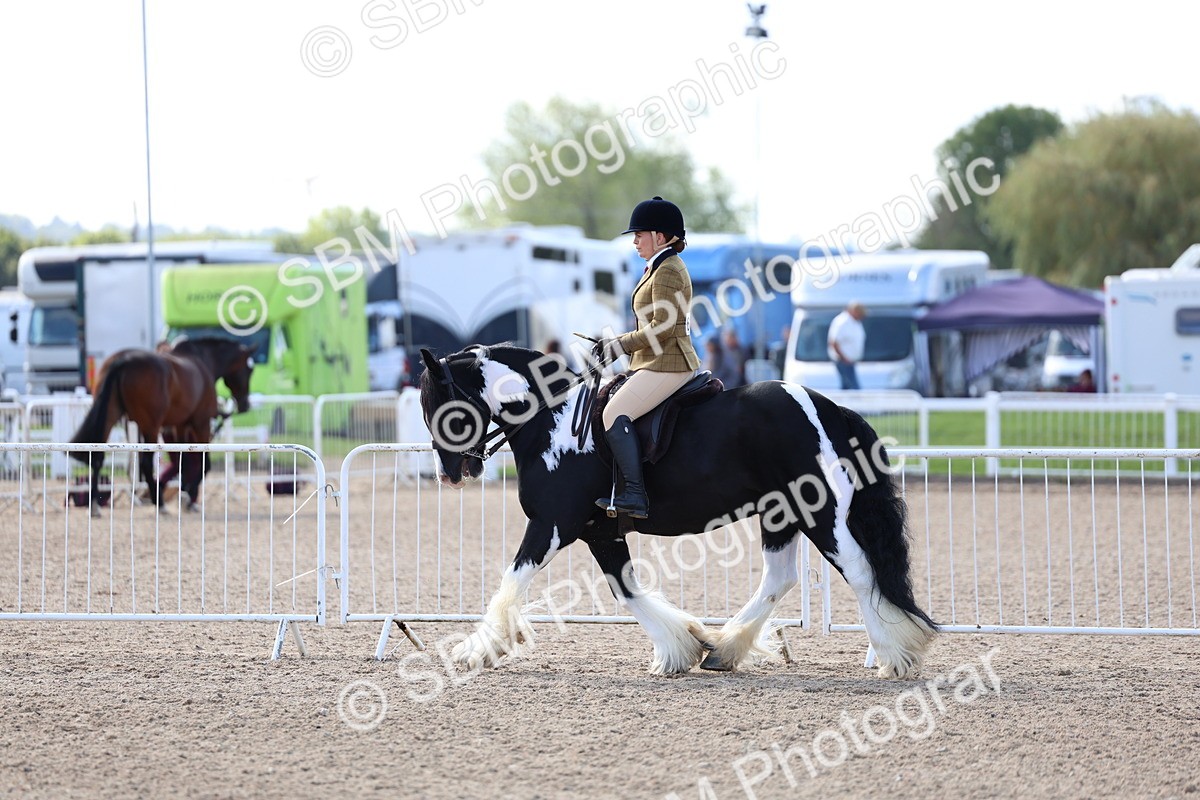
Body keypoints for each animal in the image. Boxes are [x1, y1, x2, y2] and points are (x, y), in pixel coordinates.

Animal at [70, 337, 256, 510]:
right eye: (249, 370)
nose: (245, 405)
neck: (202, 360)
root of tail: (124, 361)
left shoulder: (180, 425)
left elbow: (183, 460)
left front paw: (185, 489)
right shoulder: (201, 422)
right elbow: (205, 463)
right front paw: (189, 492)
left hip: (110, 416)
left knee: (97, 455)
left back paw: (95, 505)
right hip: (150, 426)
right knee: (145, 463)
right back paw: (159, 502)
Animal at [417, 344, 938, 679]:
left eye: (440, 404)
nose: (451, 472)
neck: (555, 421)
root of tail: (826, 406)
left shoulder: (552, 525)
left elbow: (511, 583)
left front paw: (475, 651)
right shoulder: (599, 531)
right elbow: (626, 591)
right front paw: (679, 648)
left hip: (819, 511)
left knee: (859, 570)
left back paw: (896, 656)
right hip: (781, 512)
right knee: (780, 577)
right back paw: (725, 649)